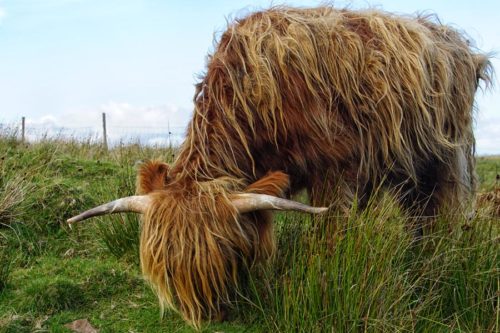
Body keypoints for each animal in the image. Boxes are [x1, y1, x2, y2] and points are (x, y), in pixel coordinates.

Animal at [68, 5, 490, 326]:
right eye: (167, 269)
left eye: (225, 253)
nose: (207, 316)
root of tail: (452, 39)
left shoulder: (336, 170)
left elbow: (330, 235)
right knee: (418, 215)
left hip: (446, 158)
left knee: (441, 215)